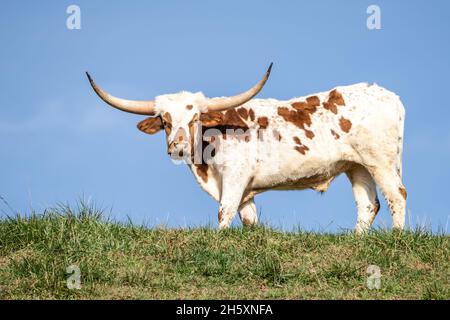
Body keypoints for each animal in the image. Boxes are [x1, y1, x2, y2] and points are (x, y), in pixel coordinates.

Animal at [86, 64, 406, 235]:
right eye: (165, 121)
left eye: (194, 118)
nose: (177, 146)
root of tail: (387, 95)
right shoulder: (245, 191)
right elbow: (249, 219)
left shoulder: (234, 178)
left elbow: (224, 211)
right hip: (358, 166)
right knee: (368, 204)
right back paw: (357, 239)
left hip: (381, 162)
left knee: (396, 196)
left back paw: (396, 237)